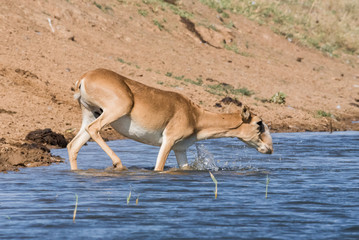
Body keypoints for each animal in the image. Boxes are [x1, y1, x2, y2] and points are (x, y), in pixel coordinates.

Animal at [67, 68, 272, 172]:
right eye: (259, 123)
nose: (270, 148)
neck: (195, 116)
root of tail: (84, 77)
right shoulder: (168, 141)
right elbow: (158, 168)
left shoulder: (180, 150)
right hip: (113, 112)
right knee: (94, 129)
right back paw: (118, 163)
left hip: (90, 114)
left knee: (73, 145)